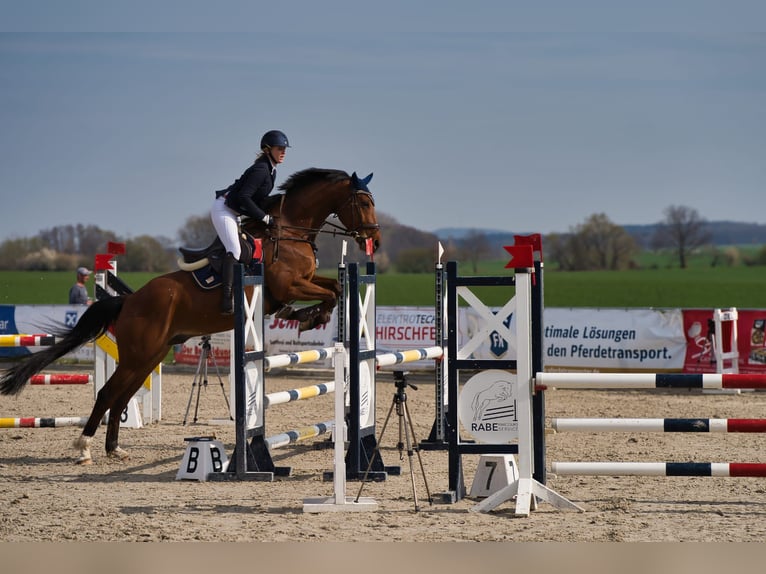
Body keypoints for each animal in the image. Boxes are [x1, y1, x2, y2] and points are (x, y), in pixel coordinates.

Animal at [0, 168, 381, 465]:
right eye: (364, 203)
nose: (374, 239)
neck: (289, 231)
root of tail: (130, 300)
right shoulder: (289, 285)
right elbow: (330, 292)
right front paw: (312, 316)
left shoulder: (301, 283)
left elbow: (334, 286)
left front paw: (312, 316)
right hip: (139, 353)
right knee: (108, 394)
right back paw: (84, 448)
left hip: (149, 356)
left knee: (121, 395)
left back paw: (115, 449)